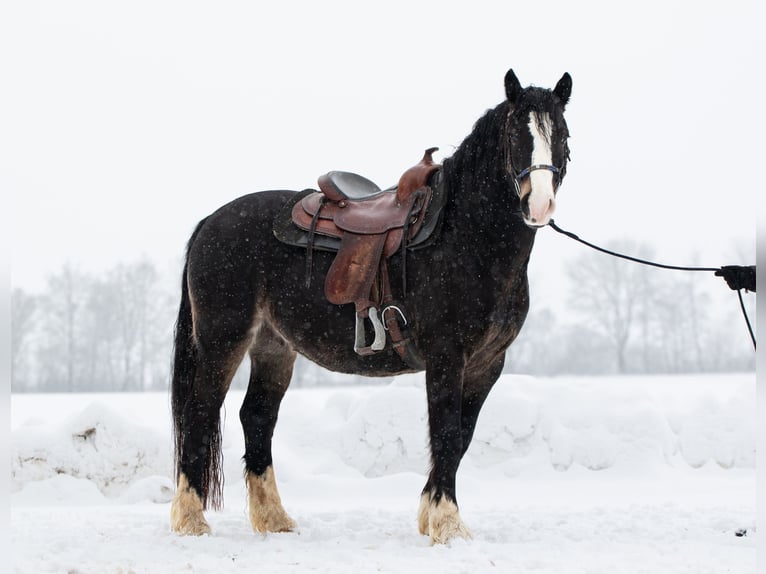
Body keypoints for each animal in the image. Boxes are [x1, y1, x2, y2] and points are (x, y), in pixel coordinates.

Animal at [170, 68, 572, 544]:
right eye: (514, 134)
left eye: (562, 134)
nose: (539, 204)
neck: (465, 237)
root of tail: (210, 223)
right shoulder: (446, 357)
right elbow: (447, 434)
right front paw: (447, 524)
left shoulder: (487, 364)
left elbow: (462, 436)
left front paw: (431, 516)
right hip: (222, 339)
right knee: (199, 412)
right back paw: (191, 521)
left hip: (273, 346)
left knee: (257, 417)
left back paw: (274, 519)